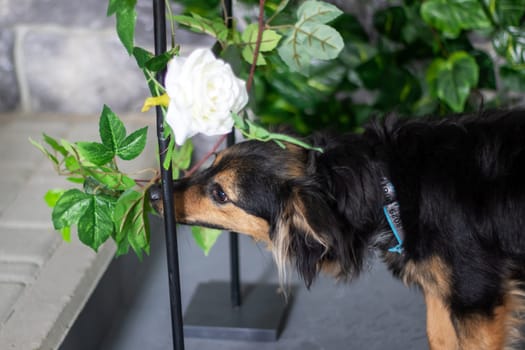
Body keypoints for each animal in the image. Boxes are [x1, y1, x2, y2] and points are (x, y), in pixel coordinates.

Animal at [149, 110, 524, 350]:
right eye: (211, 165)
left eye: (221, 194)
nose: (152, 193)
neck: (388, 186)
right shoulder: (442, 290)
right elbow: (440, 338)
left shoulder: (475, 296)